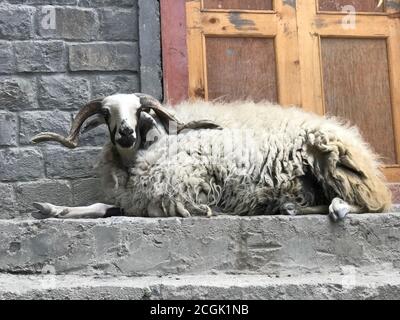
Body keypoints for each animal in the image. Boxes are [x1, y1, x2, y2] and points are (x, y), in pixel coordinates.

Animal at [30, 94, 390, 221]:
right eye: (106, 113)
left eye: (141, 110)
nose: (126, 133)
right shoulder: (137, 197)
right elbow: (101, 207)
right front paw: (52, 209)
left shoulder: (173, 193)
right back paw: (290, 207)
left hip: (335, 162)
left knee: (373, 202)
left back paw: (338, 208)